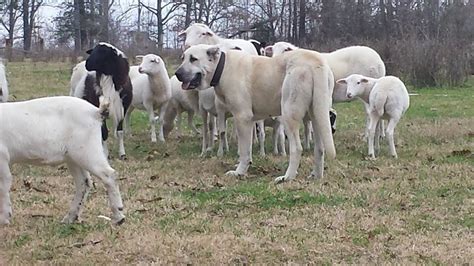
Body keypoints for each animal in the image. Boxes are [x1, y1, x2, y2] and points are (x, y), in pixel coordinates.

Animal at [0, 95, 125, 224]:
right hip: (73, 158)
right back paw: (70, 217)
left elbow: (3, 186)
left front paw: (4, 219)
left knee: (108, 175)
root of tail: (96, 112)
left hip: (87, 151)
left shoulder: (2, 157)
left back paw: (118, 216)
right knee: (84, 183)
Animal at [176, 44, 336, 183]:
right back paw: (316, 175)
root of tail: (315, 62)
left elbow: (244, 150)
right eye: (183, 58)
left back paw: (287, 177)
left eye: (193, 59)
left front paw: (239, 172)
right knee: (319, 148)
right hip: (318, 115)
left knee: (297, 148)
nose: (177, 74)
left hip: (289, 114)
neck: (222, 67)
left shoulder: (242, 118)